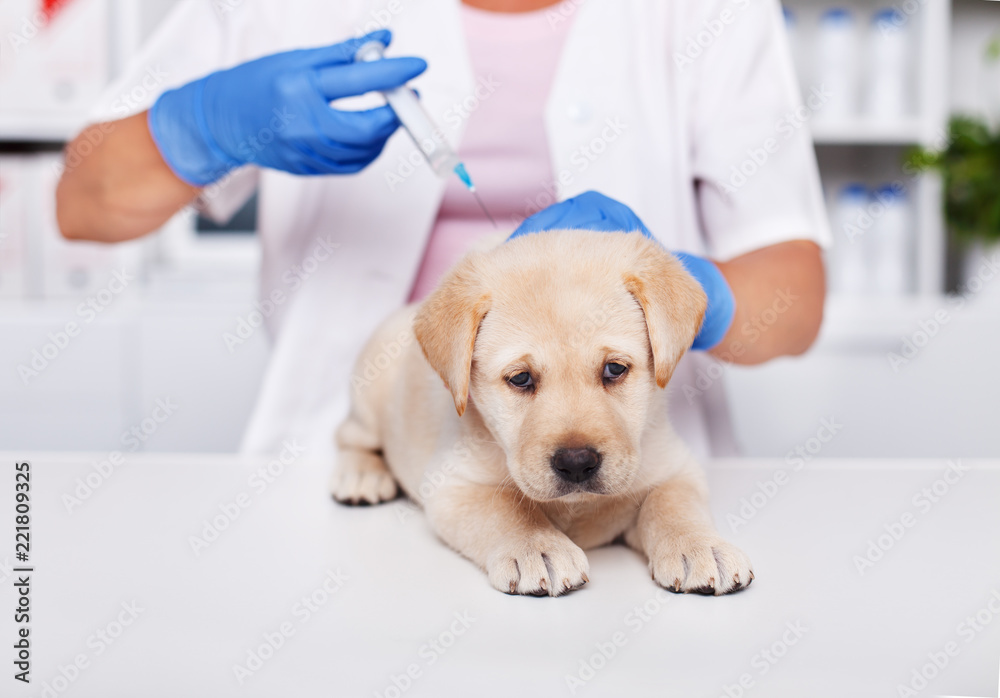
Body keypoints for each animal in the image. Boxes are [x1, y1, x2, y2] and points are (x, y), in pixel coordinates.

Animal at [332, 228, 752, 592]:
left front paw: (699, 546)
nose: (577, 463)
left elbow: (673, 503)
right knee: (348, 436)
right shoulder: (453, 484)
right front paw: (537, 548)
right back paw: (362, 476)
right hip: (370, 396)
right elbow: (506, 511)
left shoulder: (675, 466)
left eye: (614, 369)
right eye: (520, 378)